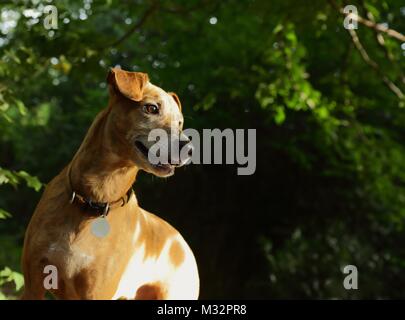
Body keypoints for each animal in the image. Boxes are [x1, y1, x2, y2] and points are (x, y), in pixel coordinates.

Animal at [21, 68, 199, 300]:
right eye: (151, 108)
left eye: (179, 123)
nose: (189, 149)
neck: (94, 199)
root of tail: (181, 240)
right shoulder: (33, 284)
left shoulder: (97, 292)